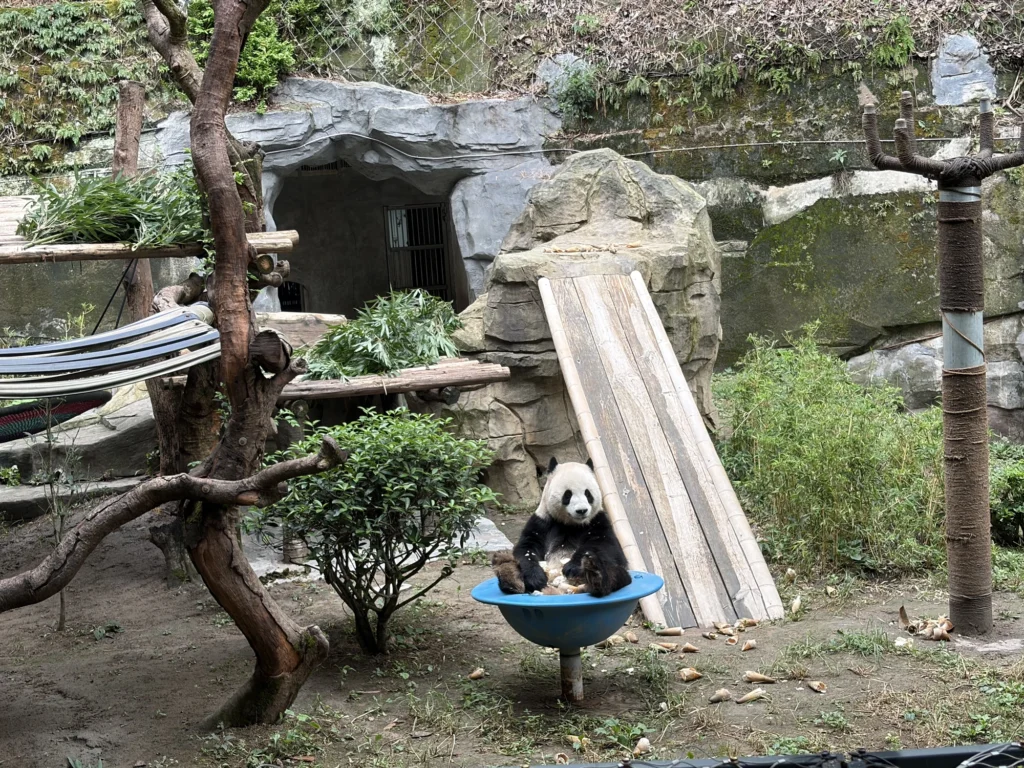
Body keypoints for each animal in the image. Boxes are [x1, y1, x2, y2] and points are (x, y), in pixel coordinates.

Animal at [492, 456, 631, 597]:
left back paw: (596, 576)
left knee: (614, 572)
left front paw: (573, 566)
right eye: (568, 494)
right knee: (511, 566)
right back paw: (509, 577)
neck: (572, 524)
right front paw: (536, 577)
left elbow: (605, 545)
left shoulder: (598, 521)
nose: (582, 511)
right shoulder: (542, 522)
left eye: (588, 494)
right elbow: (526, 547)